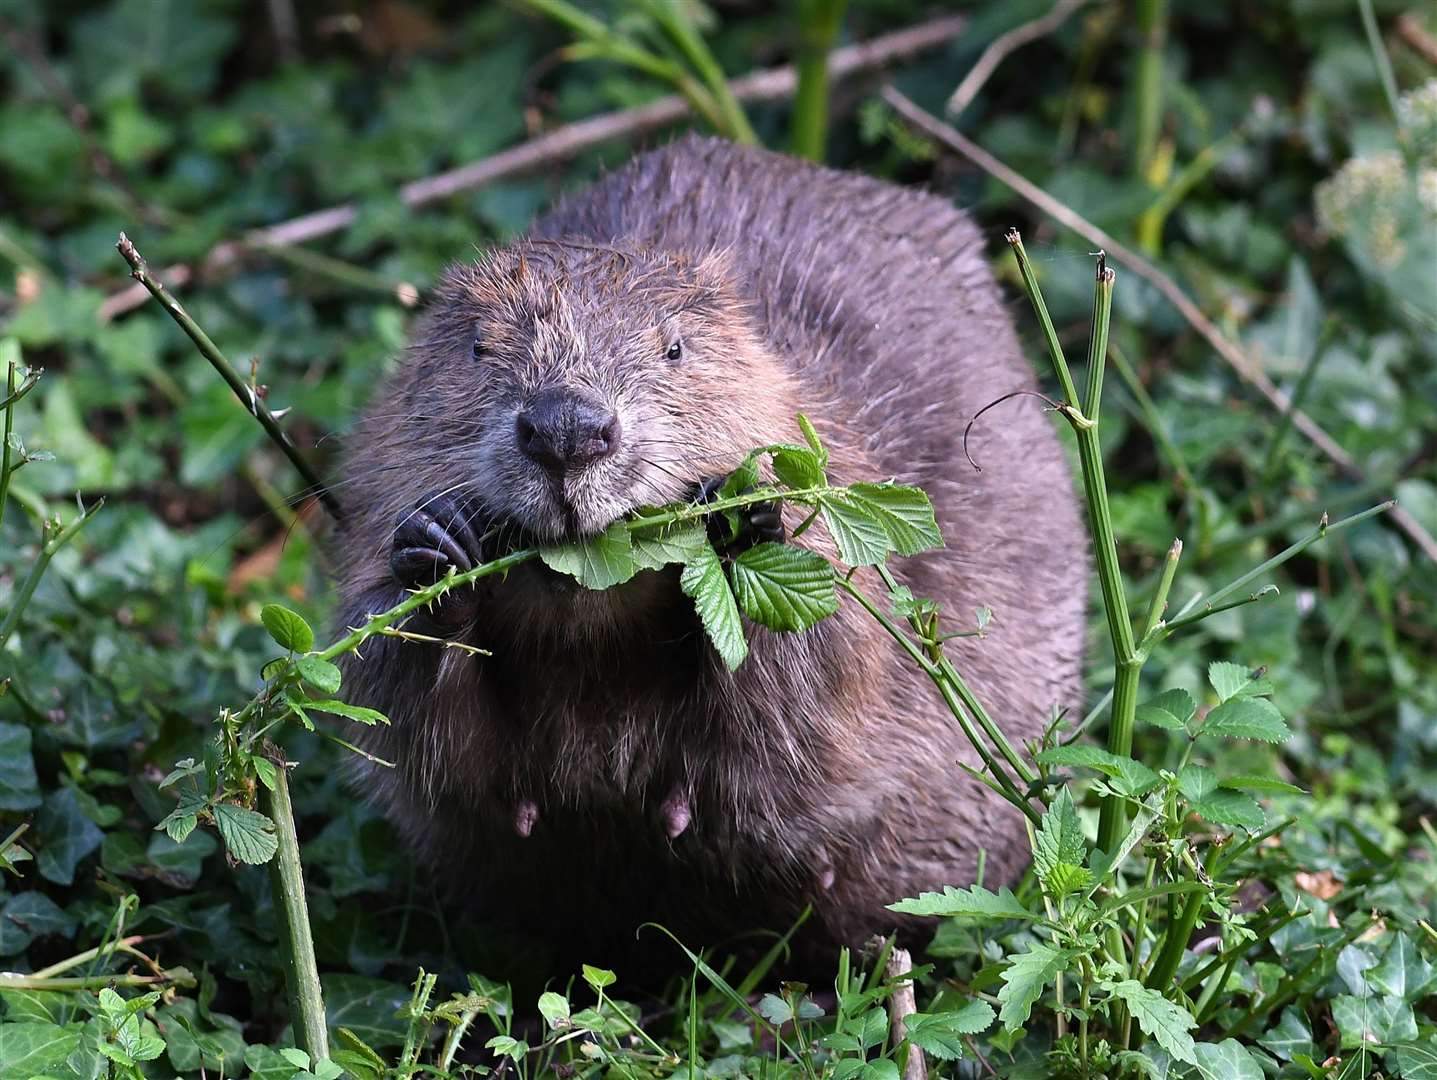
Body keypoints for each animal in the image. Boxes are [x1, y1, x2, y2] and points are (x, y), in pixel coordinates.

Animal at [330, 135, 1080, 959]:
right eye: (474, 346)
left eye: (675, 348)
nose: (567, 429)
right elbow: (419, 735)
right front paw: (436, 551)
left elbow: (812, 698)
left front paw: (740, 525)